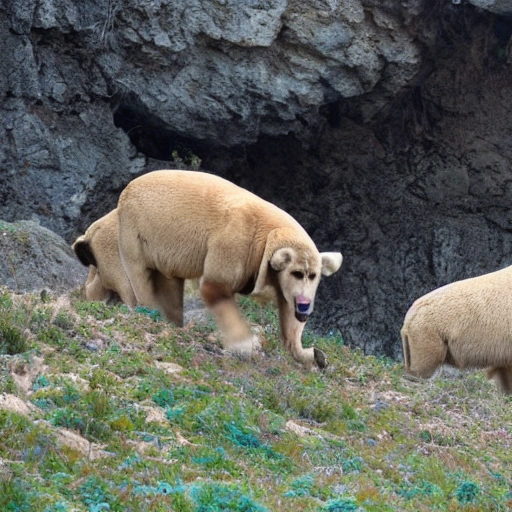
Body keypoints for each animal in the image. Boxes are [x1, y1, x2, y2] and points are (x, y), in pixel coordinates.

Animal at [117, 171, 342, 368]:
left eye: (313, 275)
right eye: (297, 273)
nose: (304, 306)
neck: (269, 233)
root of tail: (127, 189)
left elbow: (288, 312)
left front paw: (313, 354)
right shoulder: (238, 240)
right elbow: (215, 287)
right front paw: (245, 344)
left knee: (169, 282)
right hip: (139, 232)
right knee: (142, 275)